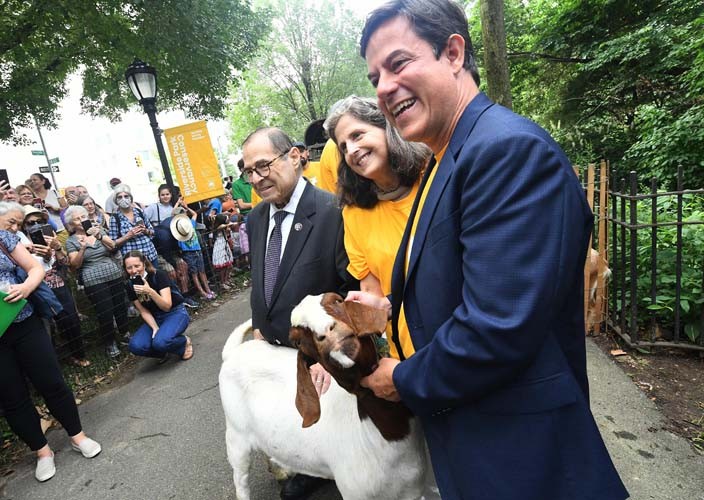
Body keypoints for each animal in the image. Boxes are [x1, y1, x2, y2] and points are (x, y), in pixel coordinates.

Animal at [217, 292, 438, 500]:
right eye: (298, 340)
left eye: (337, 300)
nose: (328, 333)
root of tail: (232, 353)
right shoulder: (355, 493)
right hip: (236, 436)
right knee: (241, 480)